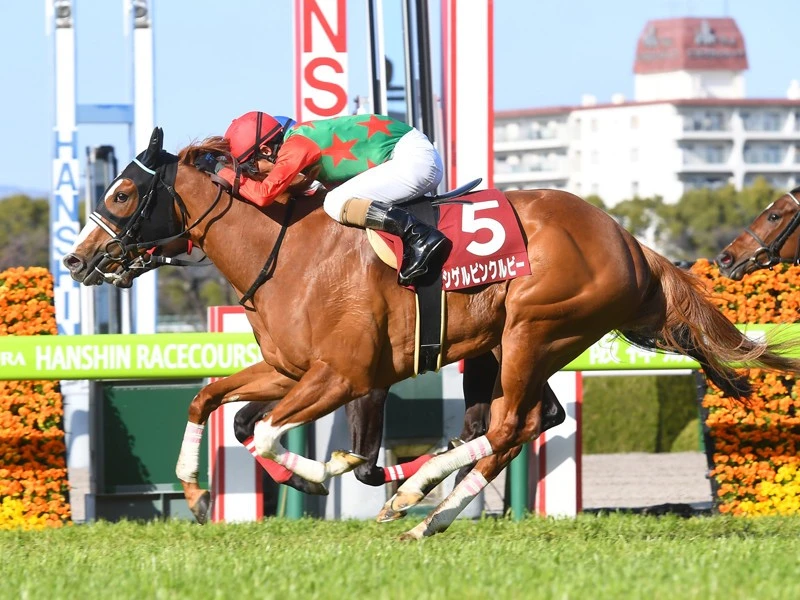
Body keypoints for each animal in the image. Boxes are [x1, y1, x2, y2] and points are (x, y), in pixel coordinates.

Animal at [63, 128, 800, 539]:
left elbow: (270, 432)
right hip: (515, 346)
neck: (288, 251)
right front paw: (192, 490)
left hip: (534, 328)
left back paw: (422, 510)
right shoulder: (292, 369)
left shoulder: (345, 375)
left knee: (506, 426)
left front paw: (324, 473)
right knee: (521, 423)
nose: (75, 259)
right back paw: (420, 498)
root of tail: (628, 241)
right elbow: (213, 400)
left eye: (123, 194)